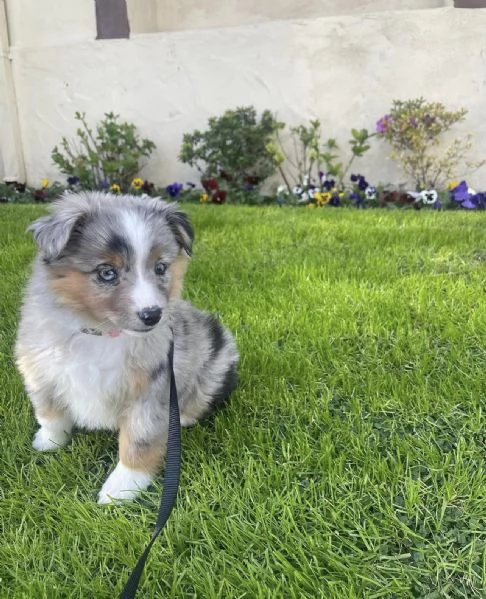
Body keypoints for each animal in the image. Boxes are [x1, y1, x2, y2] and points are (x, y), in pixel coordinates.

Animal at [16, 191, 240, 502]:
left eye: (161, 268)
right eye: (107, 272)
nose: (153, 315)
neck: (100, 333)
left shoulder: (152, 388)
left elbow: (139, 440)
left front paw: (121, 489)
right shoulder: (40, 369)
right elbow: (50, 412)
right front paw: (48, 442)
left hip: (216, 358)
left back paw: (182, 418)